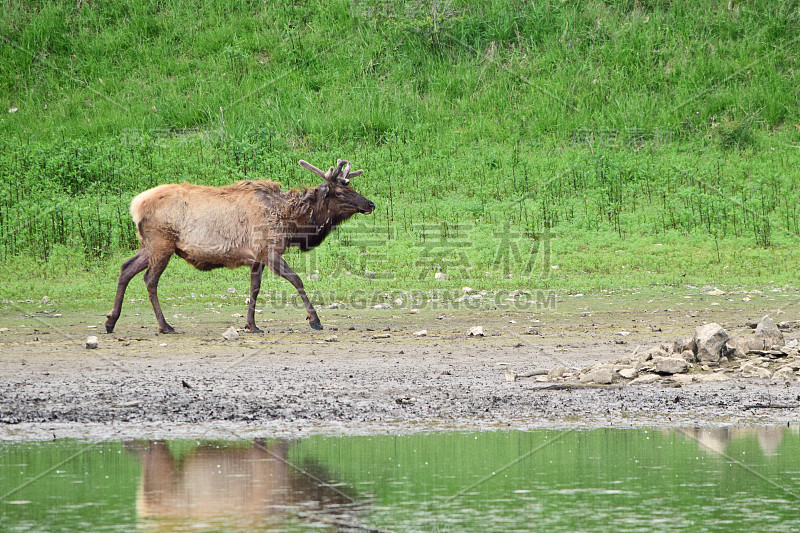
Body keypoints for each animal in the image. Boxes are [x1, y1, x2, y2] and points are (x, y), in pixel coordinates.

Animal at [105, 158, 376, 332]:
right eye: (339, 192)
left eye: (352, 186)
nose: (370, 204)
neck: (291, 223)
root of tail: (135, 206)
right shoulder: (269, 250)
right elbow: (297, 279)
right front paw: (315, 320)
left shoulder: (256, 257)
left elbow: (254, 289)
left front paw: (252, 325)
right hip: (162, 243)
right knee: (150, 280)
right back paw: (164, 326)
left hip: (148, 245)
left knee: (125, 268)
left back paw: (111, 321)